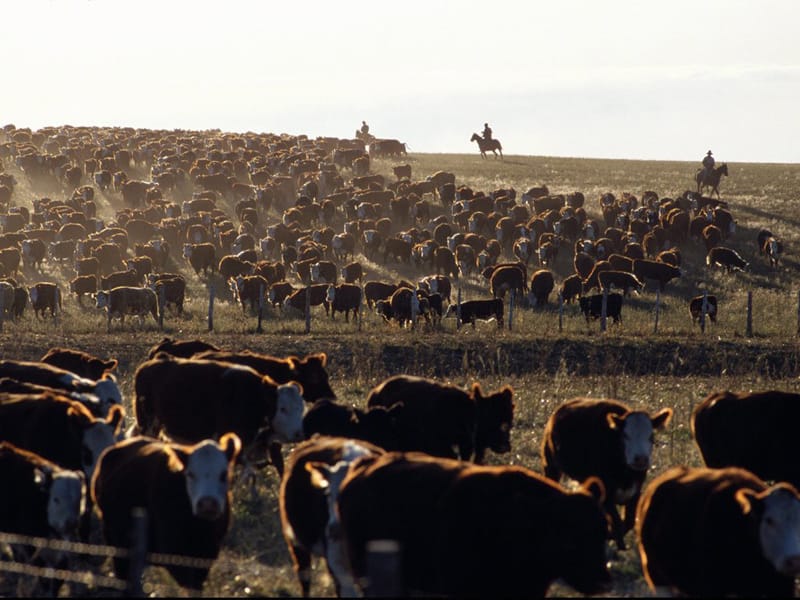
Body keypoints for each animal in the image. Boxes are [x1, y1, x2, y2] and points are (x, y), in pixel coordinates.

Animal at [90, 432, 241, 592]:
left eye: (224, 474)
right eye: (190, 474)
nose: (208, 504)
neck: (196, 526)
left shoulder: (208, 553)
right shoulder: (172, 549)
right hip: (114, 538)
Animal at [540, 396, 672, 552]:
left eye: (651, 435)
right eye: (625, 435)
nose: (640, 459)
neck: (625, 473)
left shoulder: (635, 491)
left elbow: (628, 522)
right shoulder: (606, 493)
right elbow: (617, 523)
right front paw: (619, 547)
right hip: (550, 466)